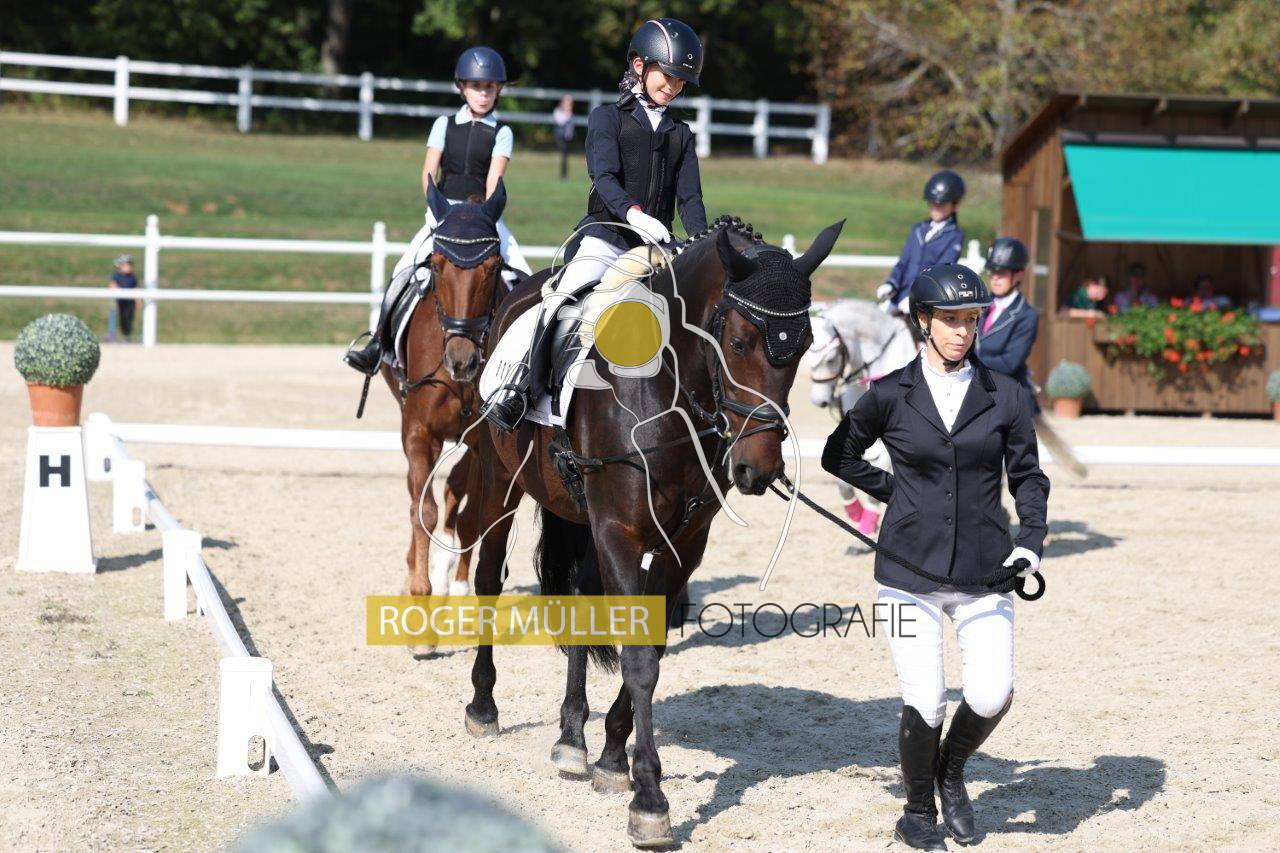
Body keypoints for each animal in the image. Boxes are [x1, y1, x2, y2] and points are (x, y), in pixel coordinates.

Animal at [381, 177, 510, 613]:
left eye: (493, 268)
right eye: (436, 265)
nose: (462, 360)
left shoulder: (481, 442)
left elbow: (468, 515)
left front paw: (455, 586)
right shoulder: (419, 431)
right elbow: (424, 509)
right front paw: (418, 594)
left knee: (458, 496)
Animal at [453, 215, 844, 847]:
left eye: (804, 347)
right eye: (738, 342)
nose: (756, 469)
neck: (666, 395)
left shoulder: (683, 543)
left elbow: (654, 643)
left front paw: (614, 756)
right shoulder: (619, 531)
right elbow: (637, 656)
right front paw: (650, 801)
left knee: (580, 598)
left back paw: (571, 739)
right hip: (499, 480)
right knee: (488, 577)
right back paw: (483, 706)